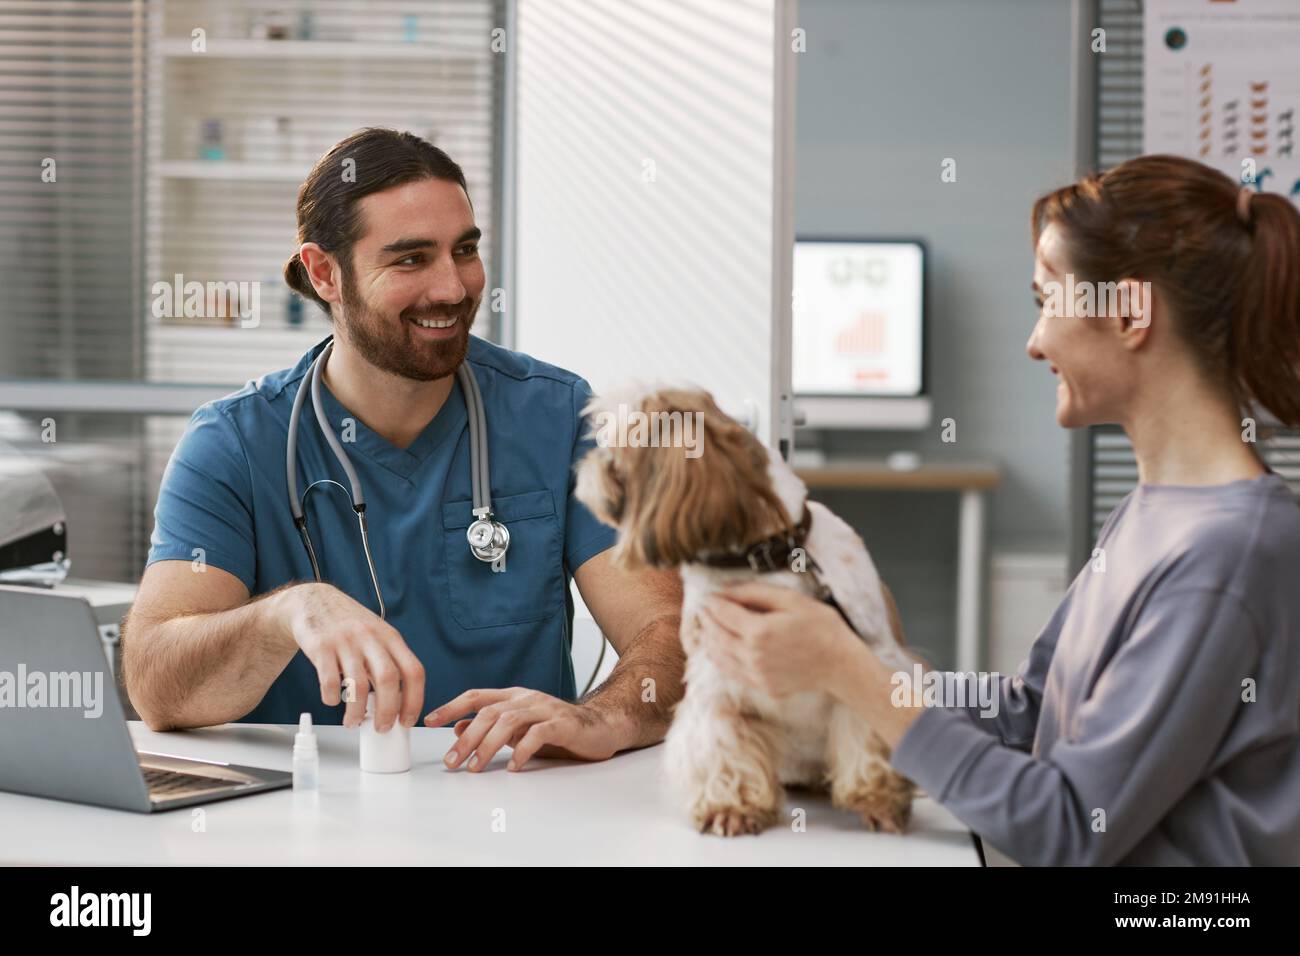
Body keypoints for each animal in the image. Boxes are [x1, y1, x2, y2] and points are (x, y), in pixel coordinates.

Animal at [574, 385, 920, 832]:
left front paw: (879, 800)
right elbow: (724, 748)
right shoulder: (716, 684)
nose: (584, 464)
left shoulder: (871, 662)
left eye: (616, 448)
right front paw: (732, 808)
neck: (765, 558)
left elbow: (865, 734)